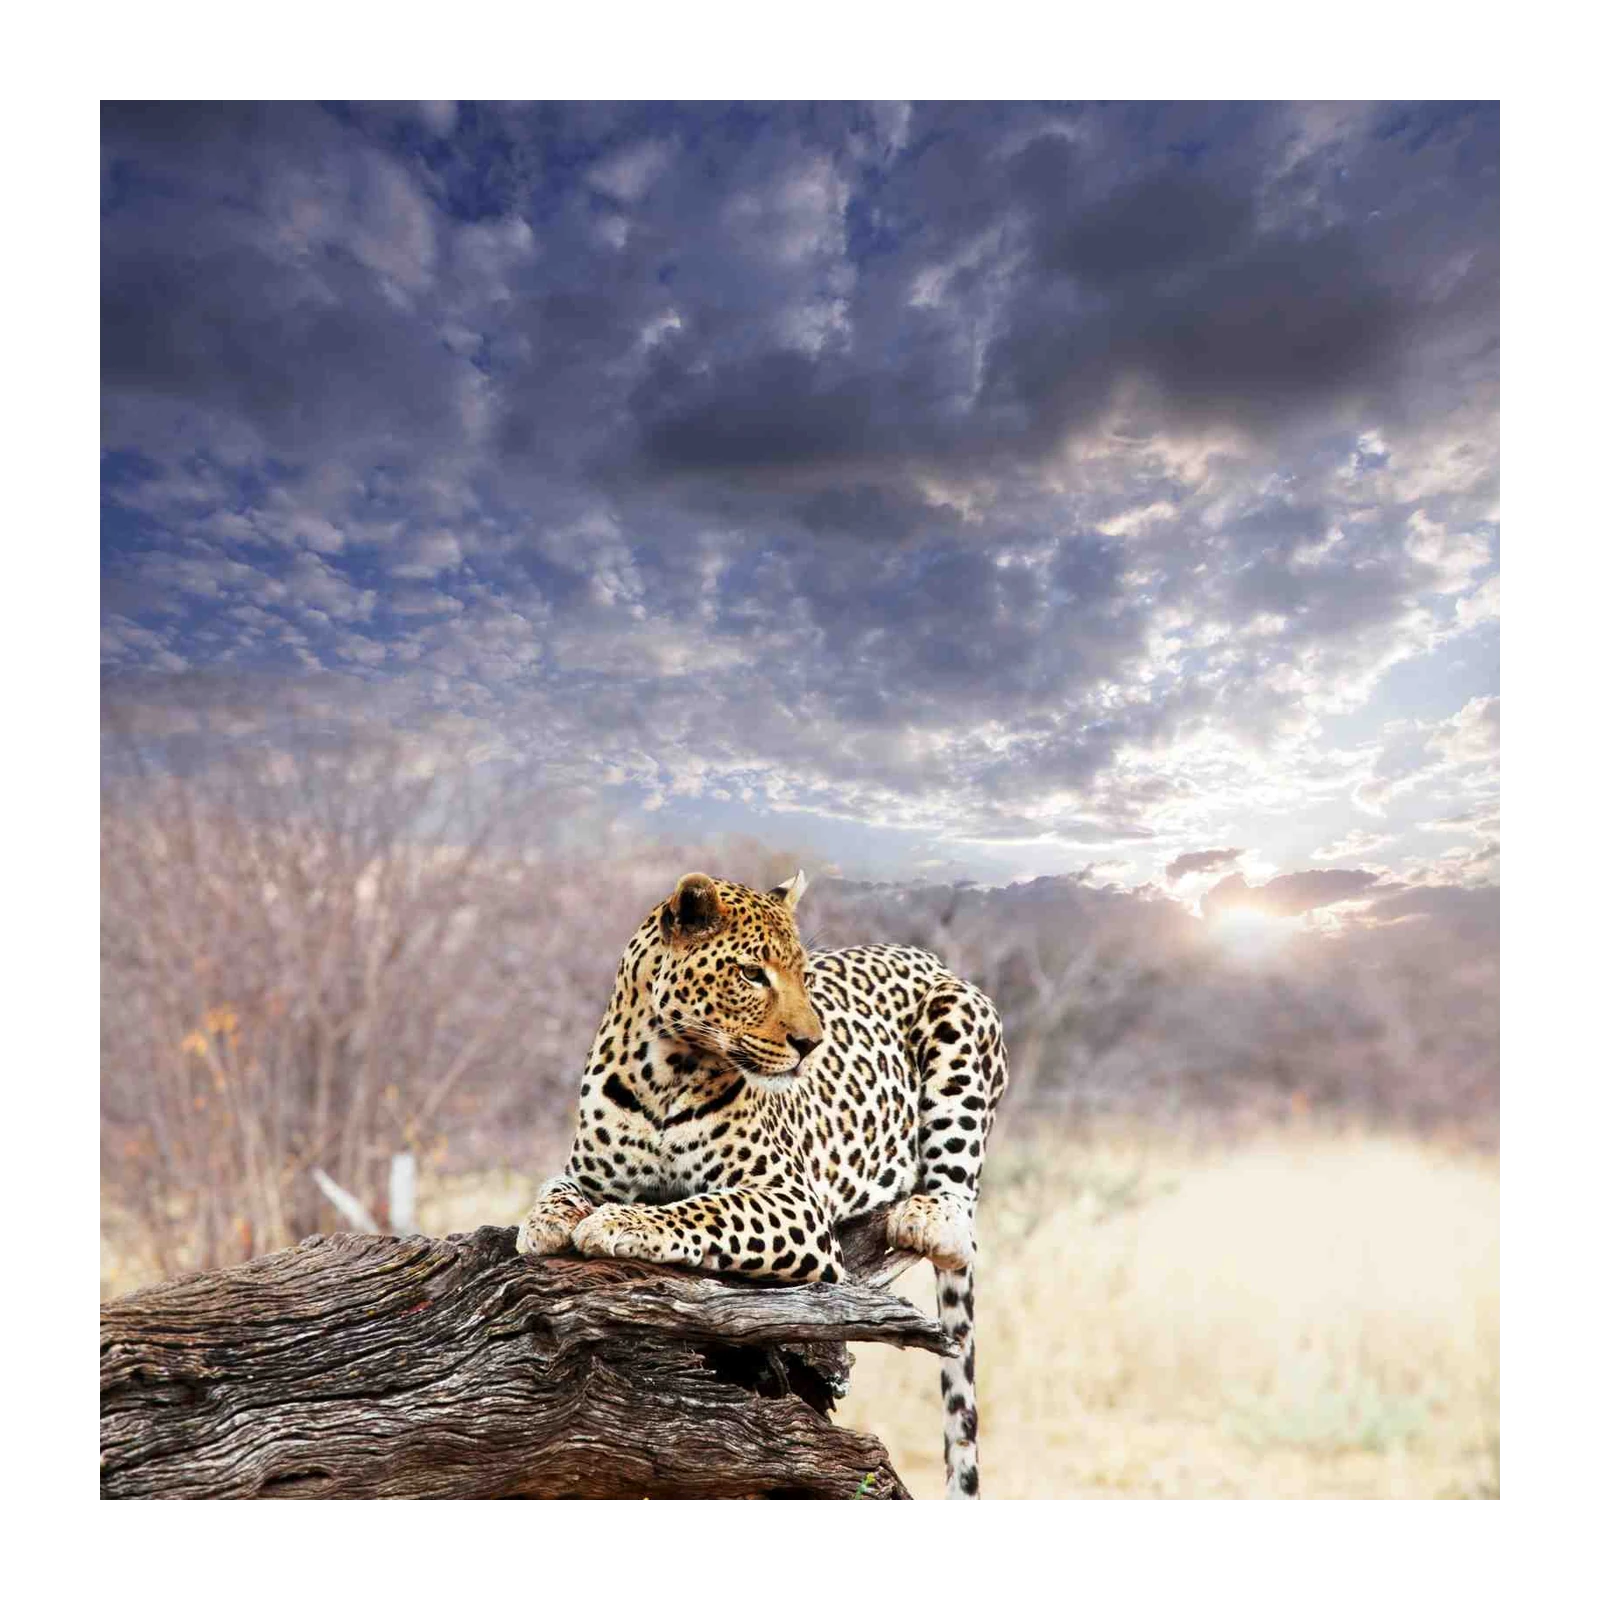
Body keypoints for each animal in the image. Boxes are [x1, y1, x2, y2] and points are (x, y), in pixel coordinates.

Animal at [516, 868, 1008, 1502]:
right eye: (753, 974)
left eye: (803, 975)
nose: (811, 1044)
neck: (663, 1071)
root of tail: (928, 957)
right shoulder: (584, 1171)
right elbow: (558, 1189)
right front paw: (545, 1223)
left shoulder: (791, 1201)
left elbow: (702, 1208)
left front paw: (619, 1224)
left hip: (962, 1022)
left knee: (959, 1215)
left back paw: (926, 1214)